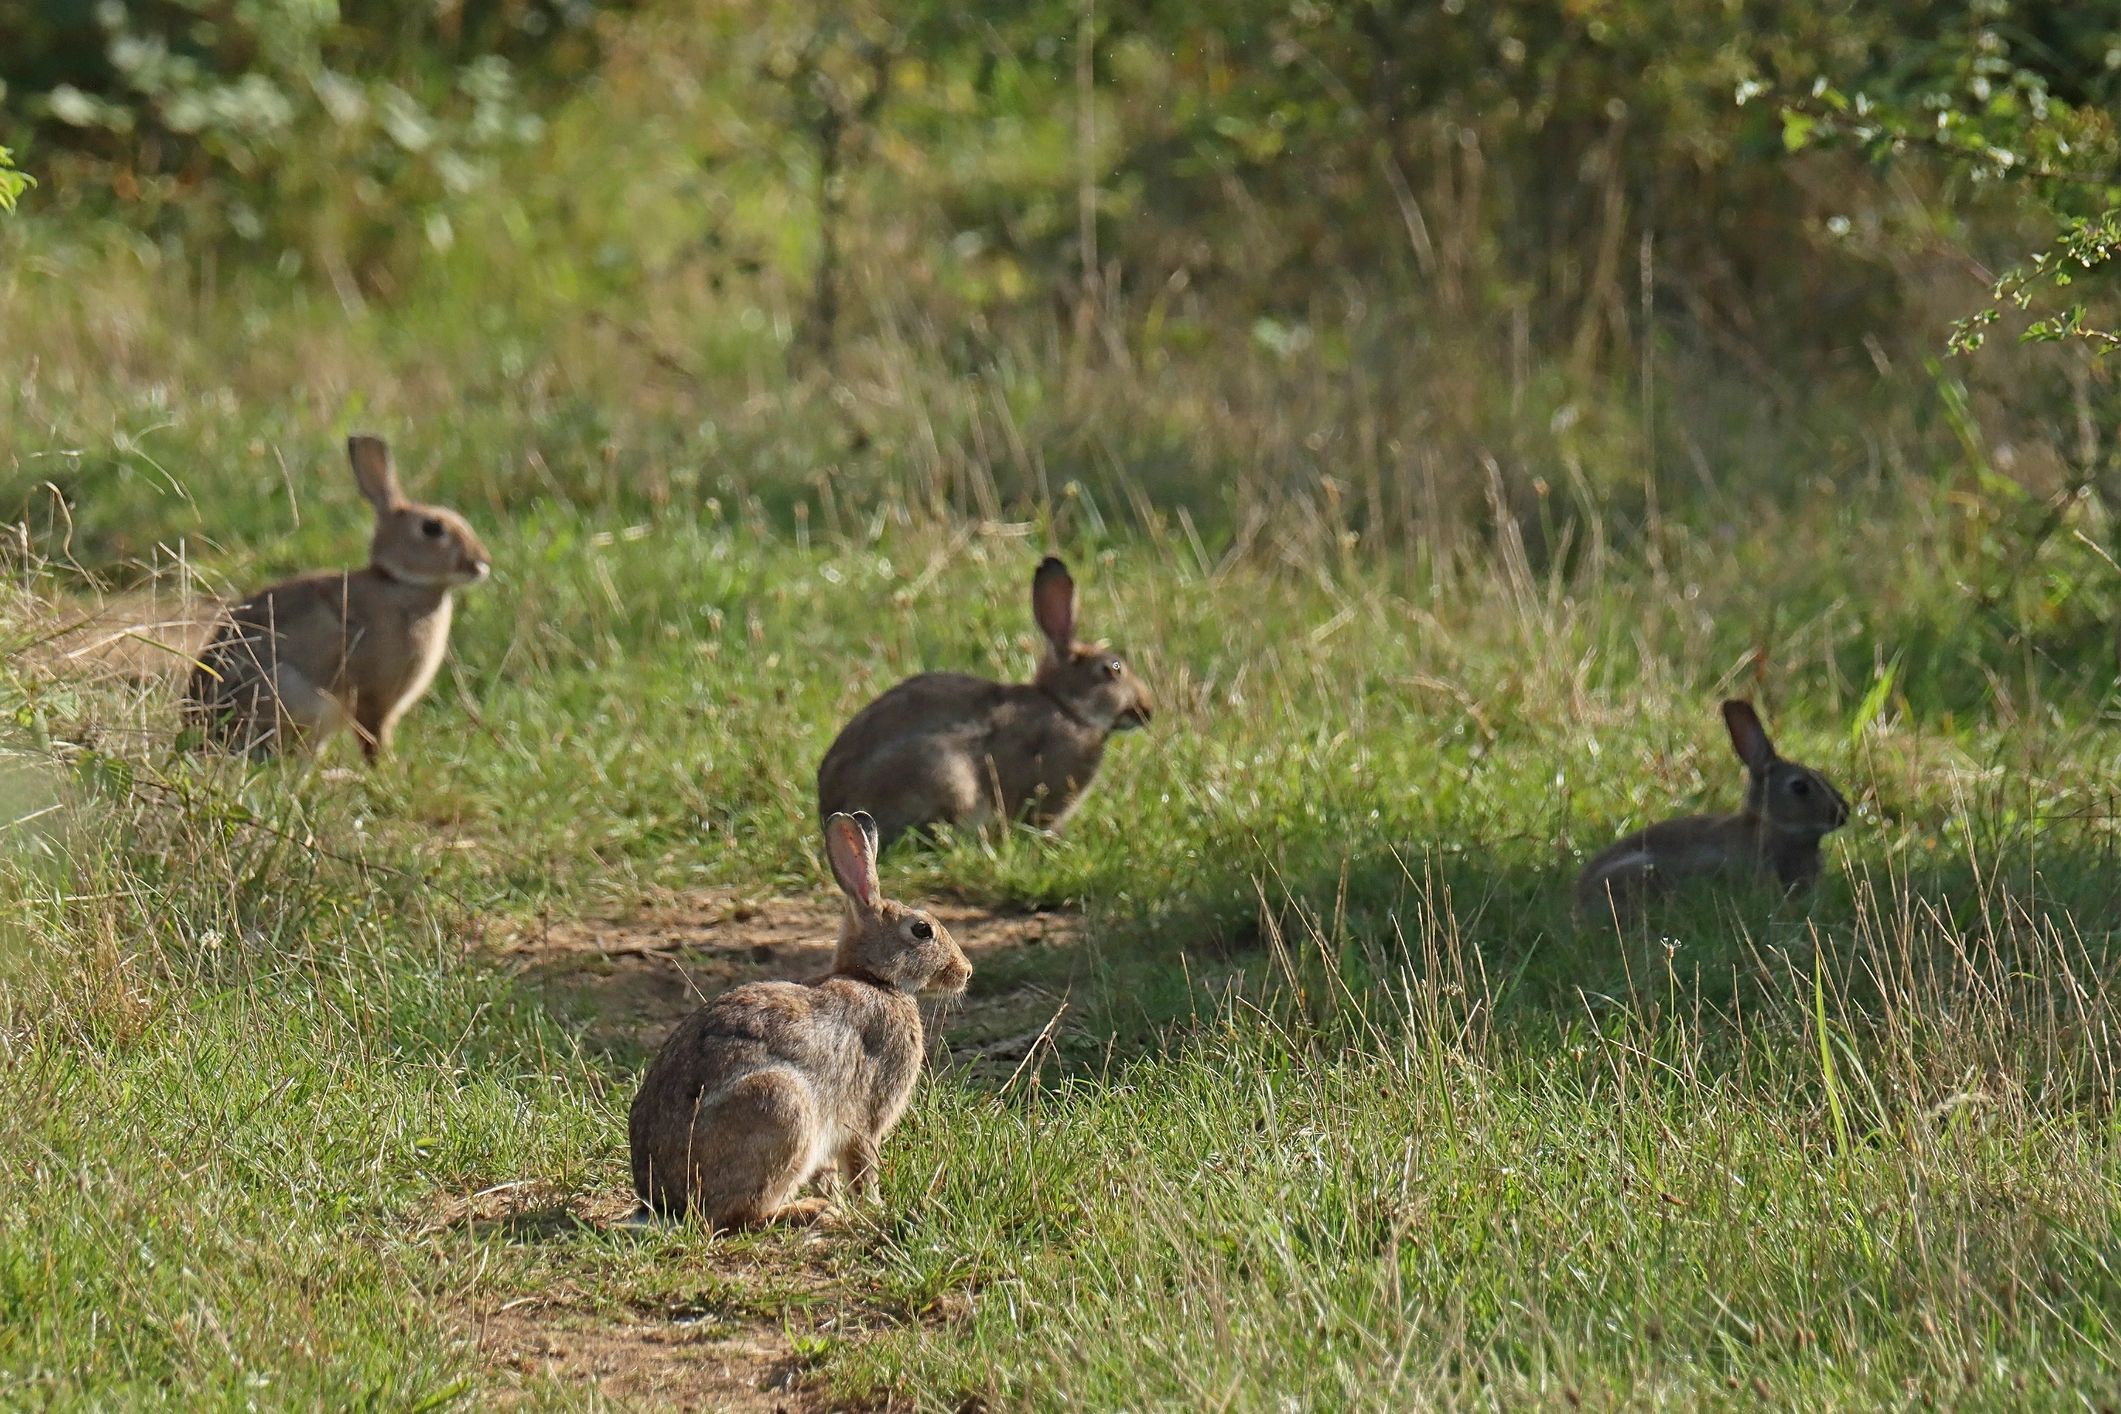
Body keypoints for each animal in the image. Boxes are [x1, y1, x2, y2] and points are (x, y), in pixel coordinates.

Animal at [183, 435, 490, 761]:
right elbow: (373, 736)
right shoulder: (373, 695)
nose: (482, 563)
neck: (400, 584)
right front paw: (387, 768)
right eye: (432, 528)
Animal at [629, 811, 972, 1226]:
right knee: (738, 1215)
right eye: (922, 930)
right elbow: (864, 1167)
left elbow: (830, 1173)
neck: (873, 979)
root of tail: (665, 1200)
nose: (966, 971)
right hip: (782, 1107)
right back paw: (813, 1211)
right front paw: (874, 1207)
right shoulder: (866, 1116)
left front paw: (844, 1201)